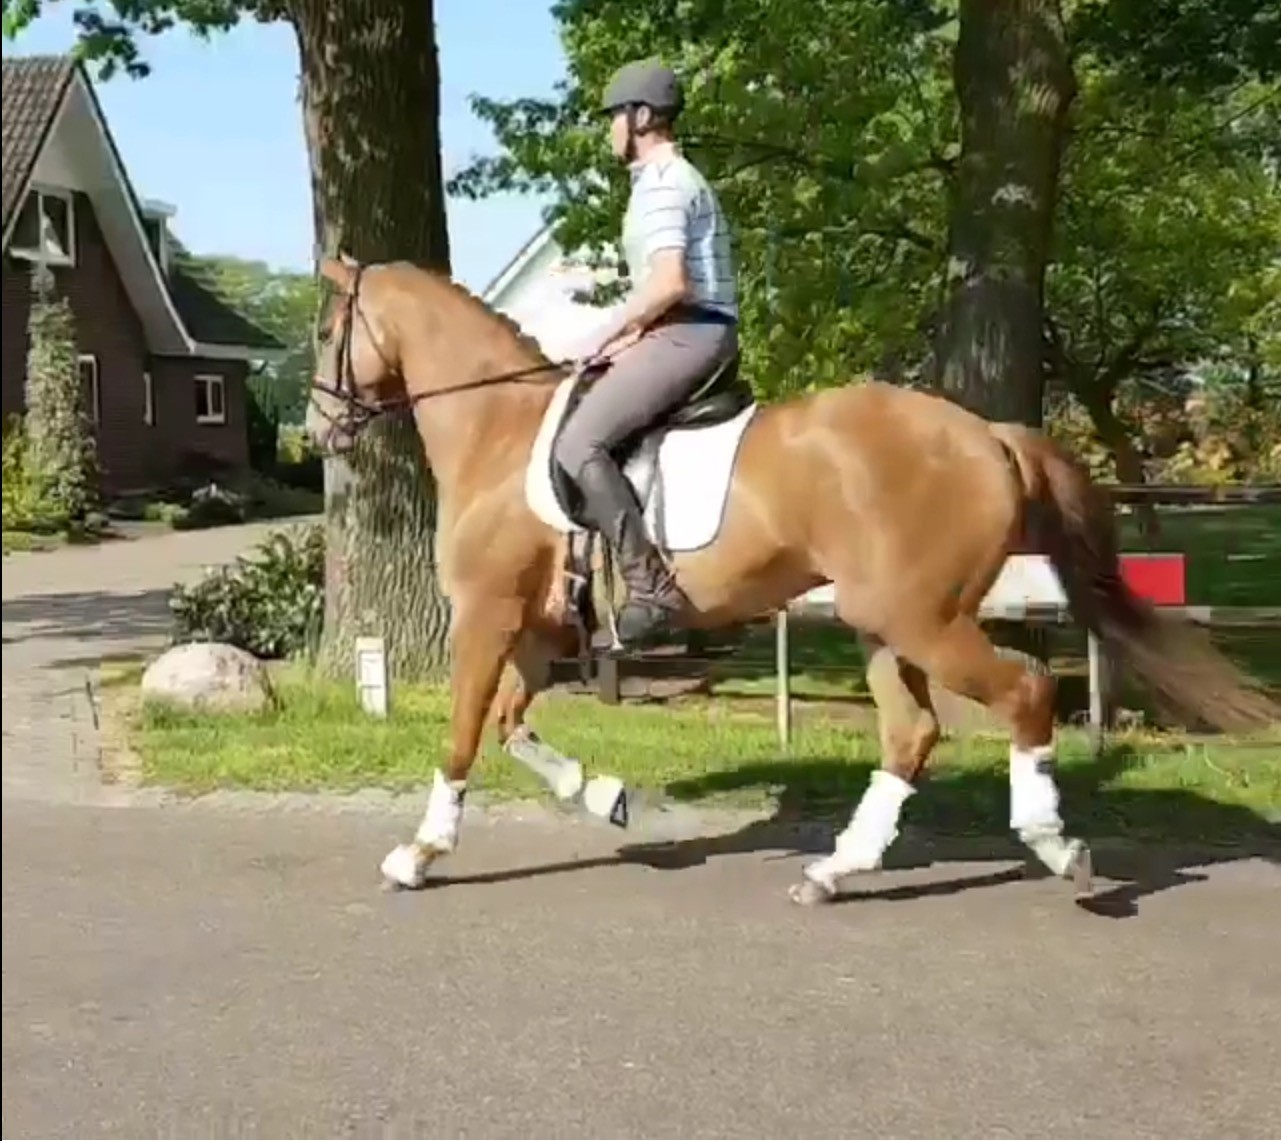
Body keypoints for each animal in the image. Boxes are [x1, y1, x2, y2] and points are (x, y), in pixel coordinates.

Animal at [304, 256, 1275, 901]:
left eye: (324, 331)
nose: (316, 431)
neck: (499, 431)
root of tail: (988, 435)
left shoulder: (486, 616)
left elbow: (463, 734)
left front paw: (419, 854)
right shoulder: (541, 630)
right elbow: (510, 727)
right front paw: (608, 797)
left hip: (919, 618)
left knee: (1024, 692)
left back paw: (1056, 848)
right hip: (883, 622)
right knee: (912, 732)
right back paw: (837, 868)